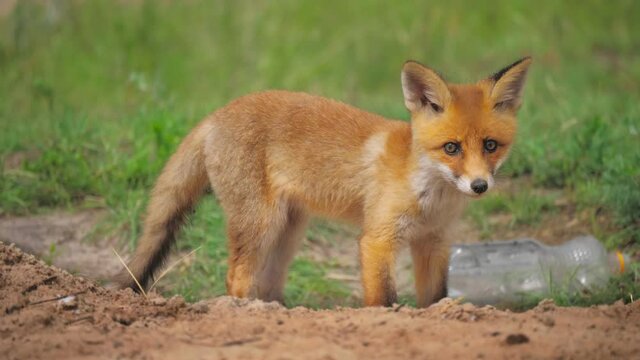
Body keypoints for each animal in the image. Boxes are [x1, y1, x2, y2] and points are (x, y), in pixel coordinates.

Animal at [114, 56, 528, 306]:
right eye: (452, 148)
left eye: (491, 145)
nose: (479, 186)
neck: (431, 196)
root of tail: (218, 113)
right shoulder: (377, 239)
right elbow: (384, 297)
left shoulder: (434, 243)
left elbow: (435, 298)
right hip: (261, 225)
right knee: (236, 279)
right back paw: (245, 312)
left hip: (288, 232)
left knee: (267, 283)